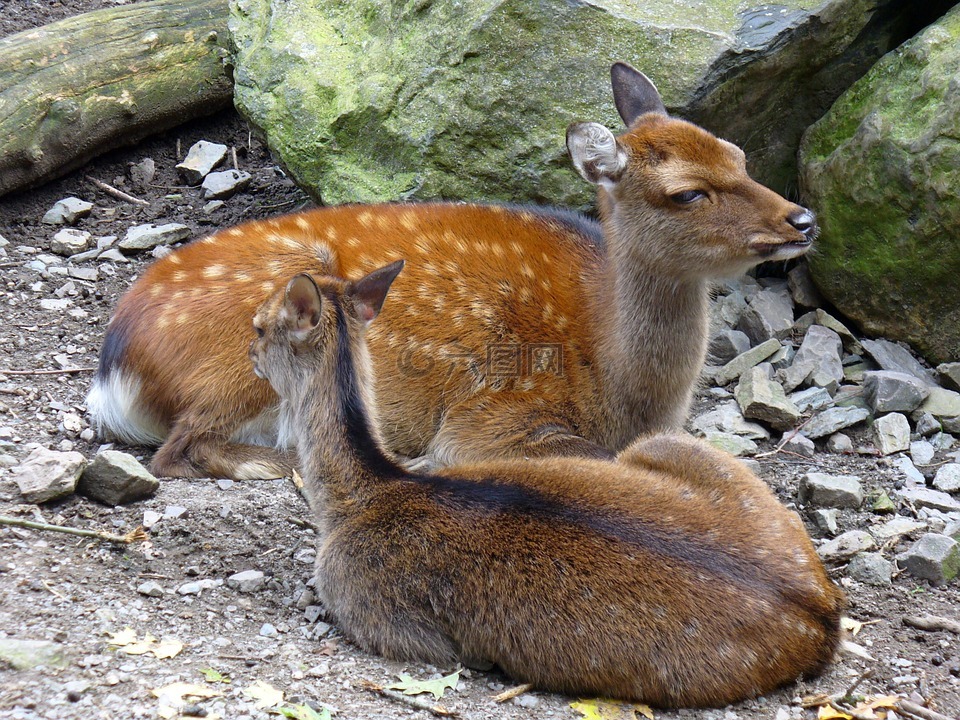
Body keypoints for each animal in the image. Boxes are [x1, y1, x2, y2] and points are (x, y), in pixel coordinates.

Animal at [86, 62, 812, 478]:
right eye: (688, 192)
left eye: (738, 154)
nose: (801, 219)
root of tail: (115, 368)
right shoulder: (492, 412)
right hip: (249, 355)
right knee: (180, 448)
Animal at [249, 264, 848, 708]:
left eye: (258, 325)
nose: (251, 352)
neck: (358, 496)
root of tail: (822, 614)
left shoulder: (381, 617)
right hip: (668, 447)